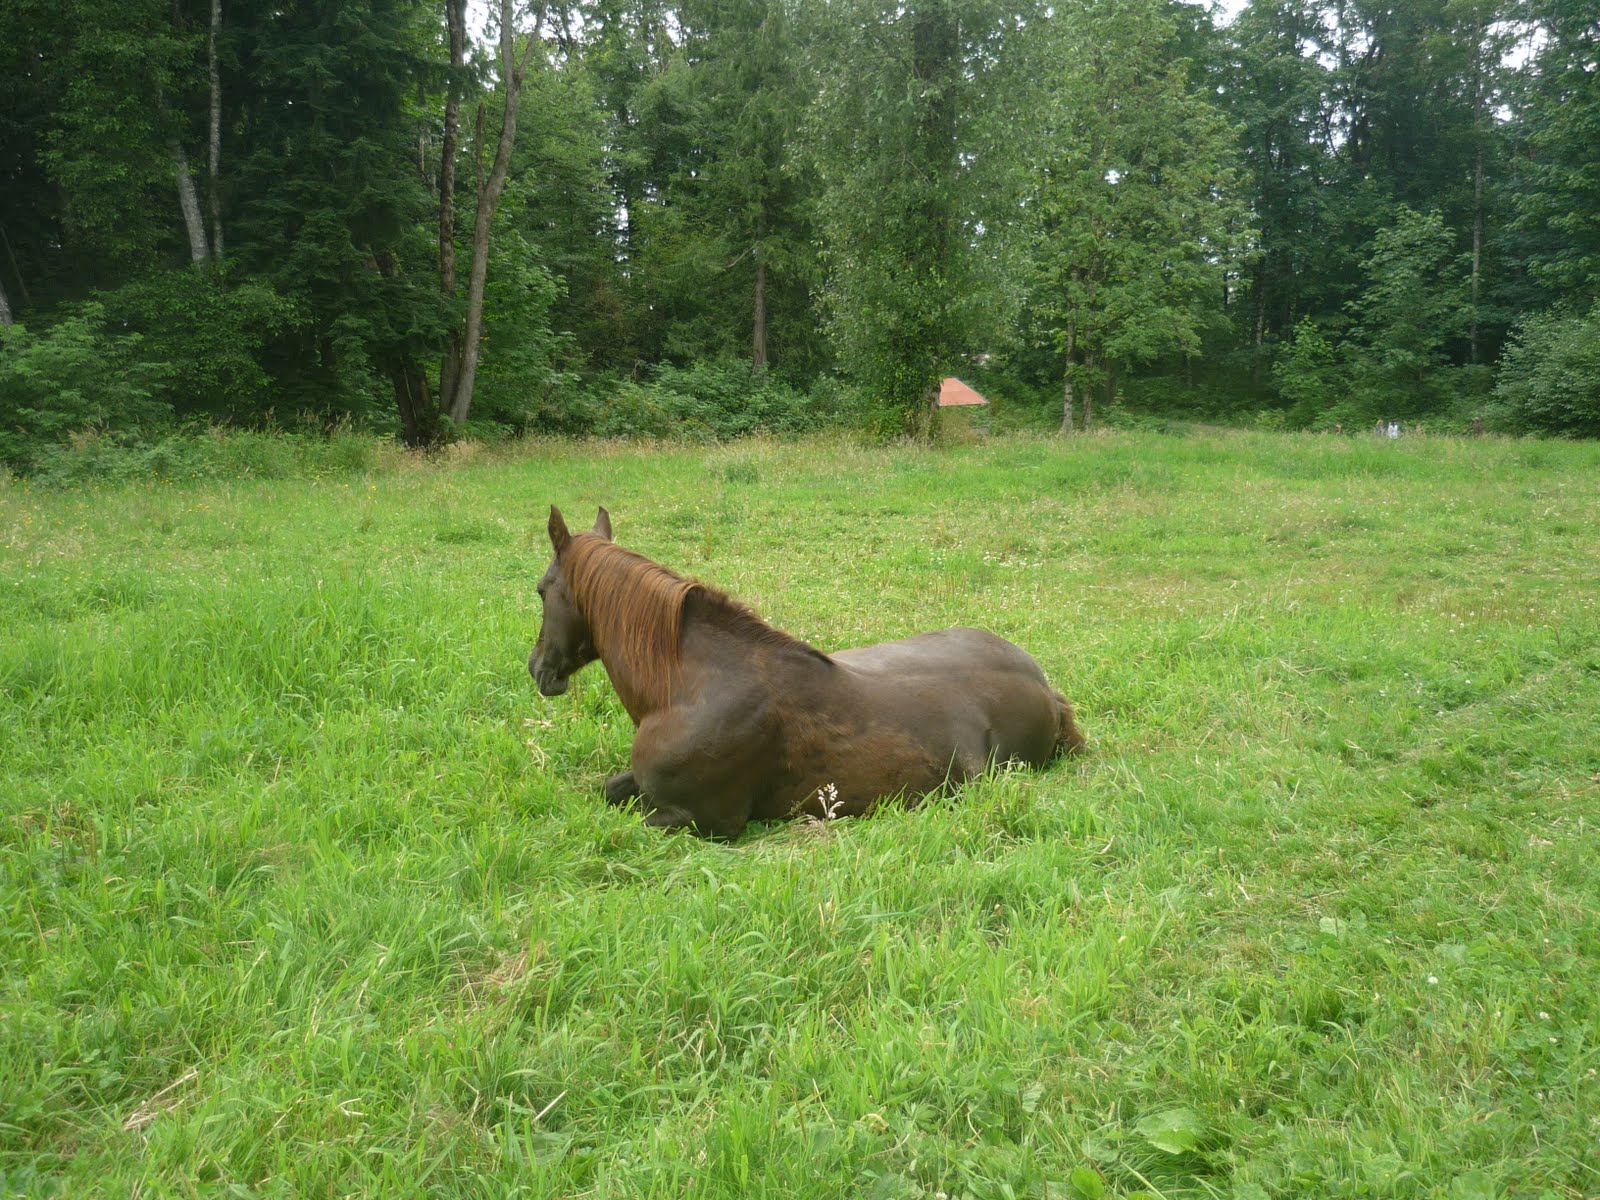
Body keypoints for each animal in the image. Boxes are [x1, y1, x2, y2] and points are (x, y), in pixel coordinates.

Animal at [531, 508, 1081, 838]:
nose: (538, 668)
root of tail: (1045, 689)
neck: (690, 686)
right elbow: (608, 788)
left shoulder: (695, 819)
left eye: (541, 590)